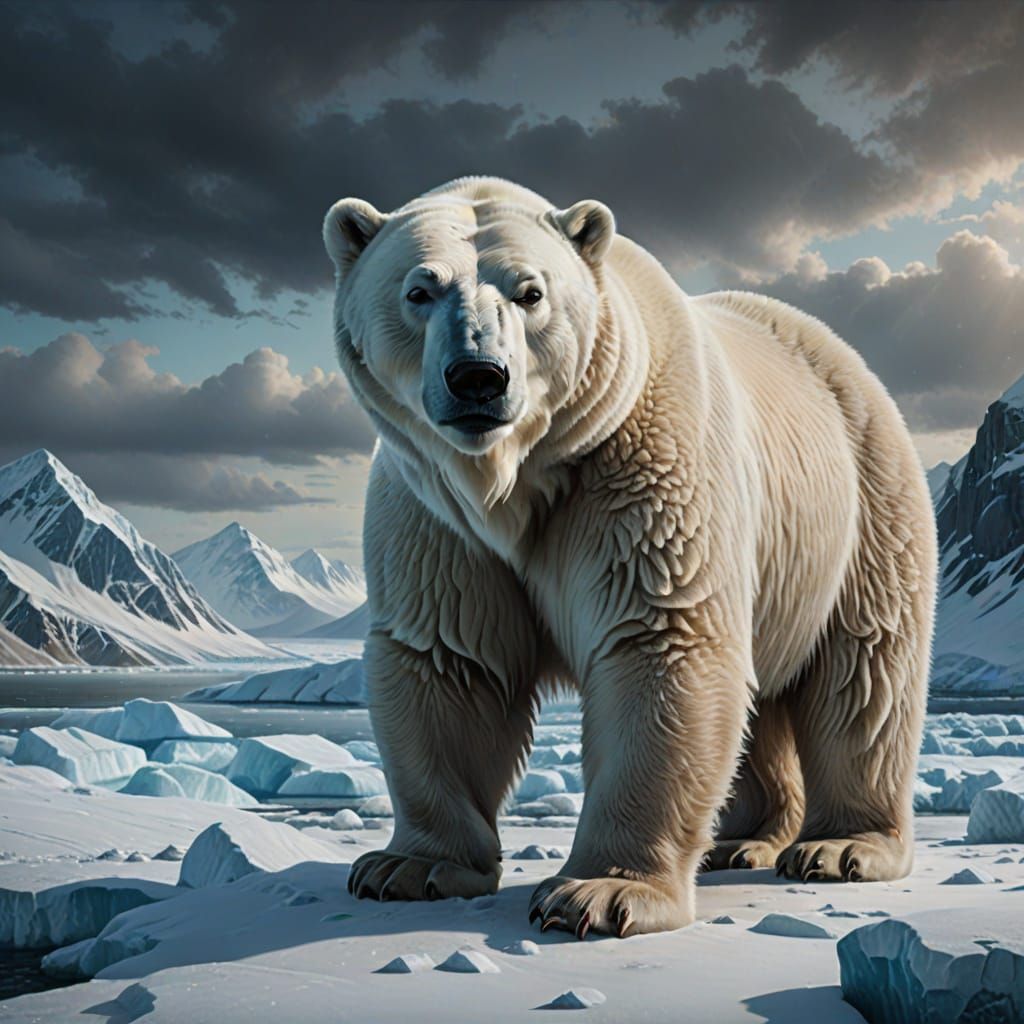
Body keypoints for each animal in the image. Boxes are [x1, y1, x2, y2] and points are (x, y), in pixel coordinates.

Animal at [322, 175, 937, 938]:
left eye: (531, 291)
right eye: (419, 289)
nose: (478, 377)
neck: (515, 479)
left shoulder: (637, 464)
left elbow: (659, 641)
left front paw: (600, 892)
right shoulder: (435, 513)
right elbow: (450, 659)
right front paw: (408, 867)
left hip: (861, 506)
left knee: (864, 677)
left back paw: (842, 845)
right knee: (761, 701)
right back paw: (744, 840)